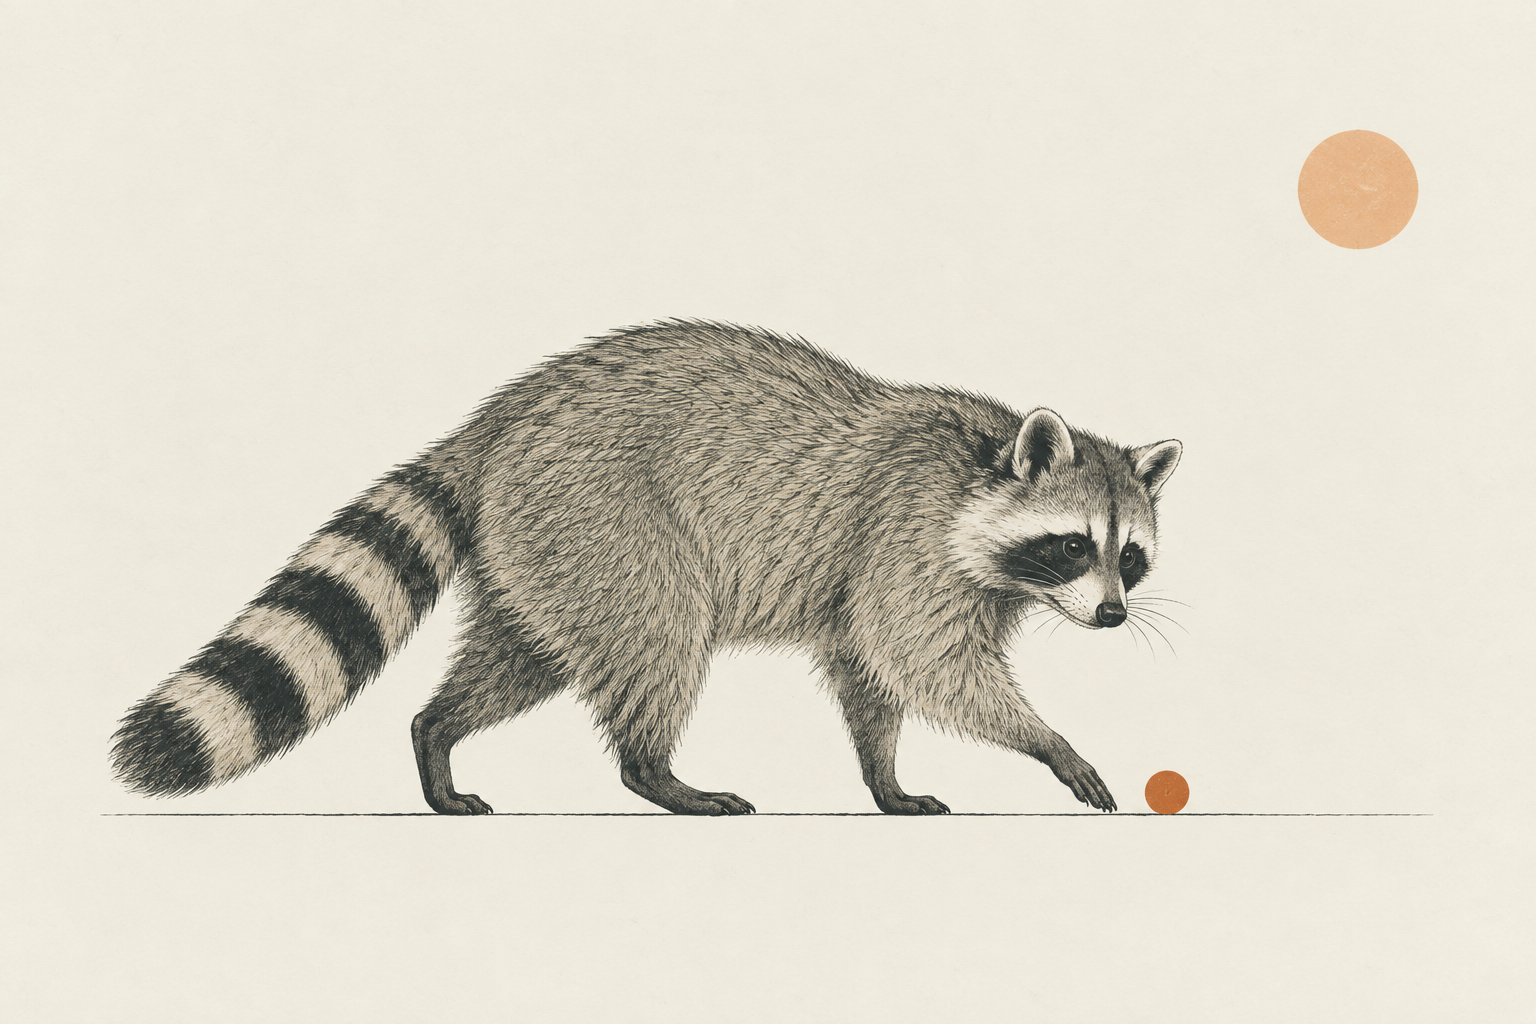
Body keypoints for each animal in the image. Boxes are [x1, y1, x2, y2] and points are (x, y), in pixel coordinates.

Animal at [112, 321, 1181, 815]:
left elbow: (871, 675)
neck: (980, 469)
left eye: (1129, 556)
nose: (1113, 617)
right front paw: (1052, 744)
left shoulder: (902, 576)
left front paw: (883, 775)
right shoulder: (904, 541)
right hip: (606, 518)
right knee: (656, 637)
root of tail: (503, 417)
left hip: (537, 550)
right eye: (1073, 544)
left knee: (519, 658)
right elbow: (927, 663)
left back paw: (437, 741)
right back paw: (658, 774)